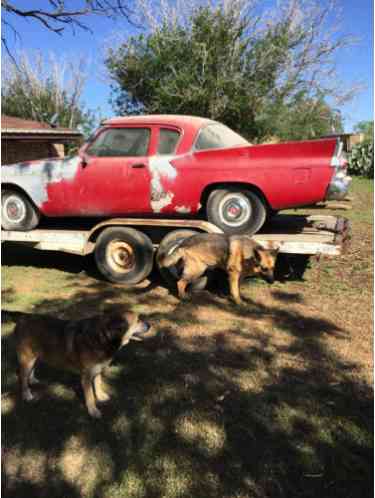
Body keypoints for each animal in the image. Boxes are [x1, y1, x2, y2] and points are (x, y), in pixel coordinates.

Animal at [4, 310, 154, 418]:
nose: (150, 325)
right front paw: (93, 411)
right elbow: (89, 396)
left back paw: (33, 380)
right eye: (138, 320)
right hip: (27, 359)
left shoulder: (97, 370)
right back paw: (27, 394)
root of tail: (23, 317)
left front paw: (101, 396)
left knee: (31, 370)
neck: (102, 337)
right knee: (22, 376)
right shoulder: (86, 377)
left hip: (35, 356)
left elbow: (98, 385)